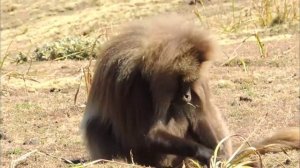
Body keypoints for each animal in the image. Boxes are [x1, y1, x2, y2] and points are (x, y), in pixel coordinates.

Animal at [81, 15, 298, 167]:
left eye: (189, 82)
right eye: (181, 82)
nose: (187, 95)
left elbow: (199, 115)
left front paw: (220, 156)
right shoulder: (132, 84)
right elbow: (146, 134)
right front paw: (206, 154)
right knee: (97, 126)